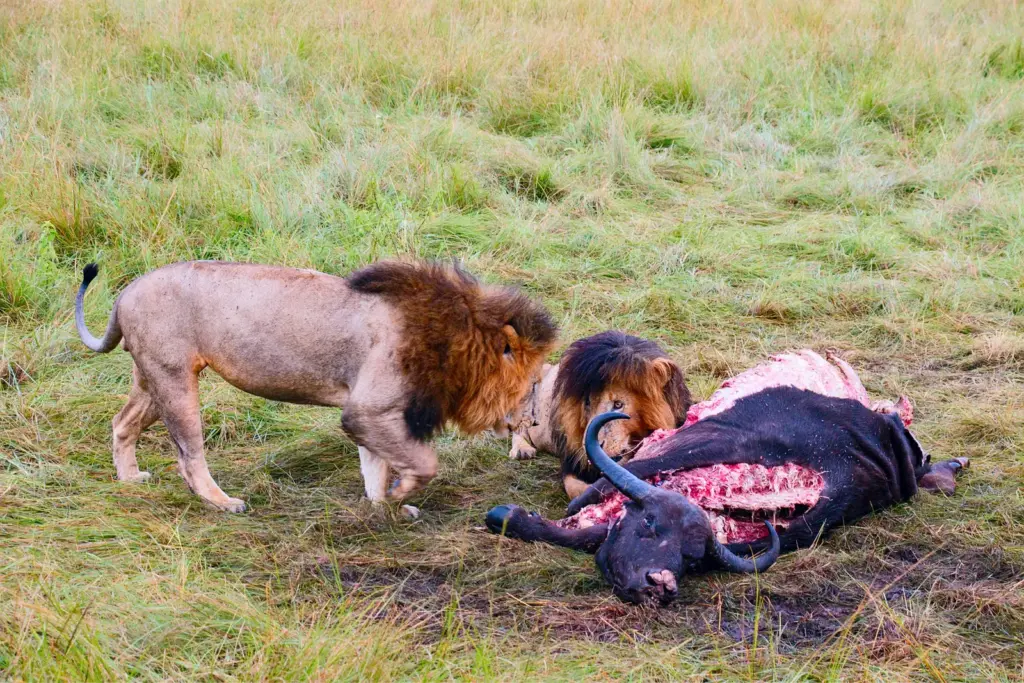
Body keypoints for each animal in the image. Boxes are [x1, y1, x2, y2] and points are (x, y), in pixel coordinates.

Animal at [75, 260, 557, 513]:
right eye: (534, 382)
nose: (533, 420)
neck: (453, 342)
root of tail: (126, 292)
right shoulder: (367, 410)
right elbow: (422, 463)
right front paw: (402, 494)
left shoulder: (375, 417)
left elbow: (376, 468)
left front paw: (386, 506)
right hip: (174, 380)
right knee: (189, 456)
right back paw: (223, 502)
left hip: (152, 377)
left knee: (122, 423)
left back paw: (130, 478)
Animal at [506, 331, 691, 499]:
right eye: (587, 403)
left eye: (618, 404)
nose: (591, 448)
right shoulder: (570, 463)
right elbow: (577, 489)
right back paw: (523, 449)